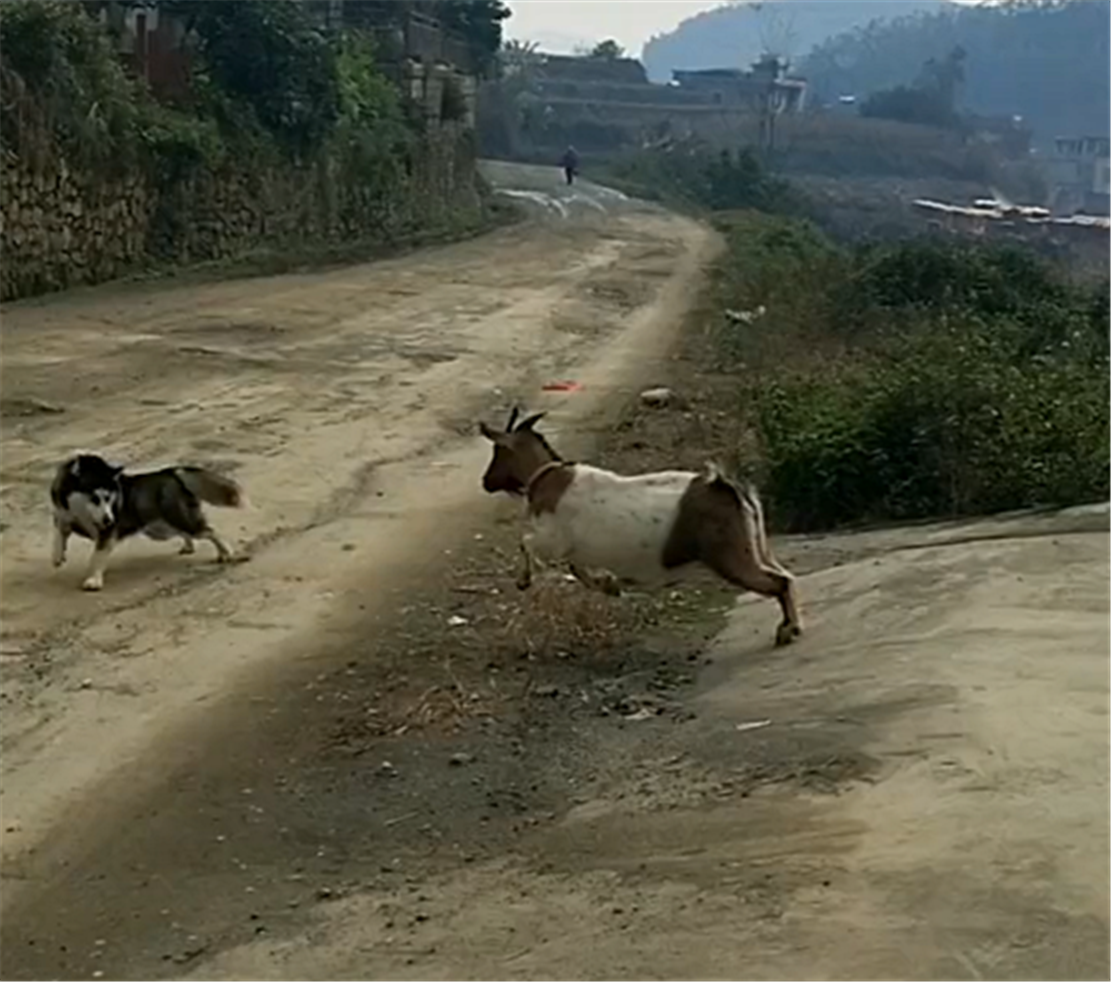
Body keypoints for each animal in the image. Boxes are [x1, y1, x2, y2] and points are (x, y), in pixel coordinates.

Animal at [50, 455, 245, 590]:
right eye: (95, 498)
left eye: (109, 498)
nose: (109, 519)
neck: (77, 509)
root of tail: (172, 472)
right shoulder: (63, 516)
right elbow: (59, 533)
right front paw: (58, 555)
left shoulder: (107, 533)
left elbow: (97, 557)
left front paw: (93, 580)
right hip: (161, 528)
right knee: (186, 532)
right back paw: (189, 546)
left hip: (178, 520)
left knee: (209, 530)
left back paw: (226, 552)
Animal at [477, 411, 799, 648]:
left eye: (497, 450)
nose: (485, 481)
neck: (545, 477)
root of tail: (727, 488)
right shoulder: (574, 550)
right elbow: (577, 568)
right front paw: (608, 584)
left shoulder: (551, 539)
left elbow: (527, 543)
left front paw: (523, 580)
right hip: (755, 546)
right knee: (784, 576)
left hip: (730, 555)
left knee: (778, 582)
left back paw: (787, 630)